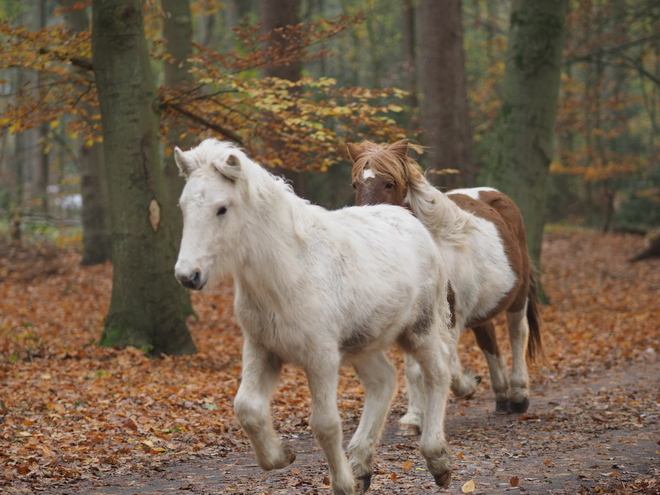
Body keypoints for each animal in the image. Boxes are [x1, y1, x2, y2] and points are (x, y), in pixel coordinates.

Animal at [173, 140, 456, 495]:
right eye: (184, 207)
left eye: (222, 208)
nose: (188, 275)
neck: (290, 270)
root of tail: (409, 220)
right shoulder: (261, 349)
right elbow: (247, 408)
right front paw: (283, 455)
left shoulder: (320, 358)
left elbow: (325, 424)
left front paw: (342, 485)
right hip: (364, 344)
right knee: (383, 381)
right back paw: (361, 465)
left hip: (420, 330)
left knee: (438, 374)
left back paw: (437, 460)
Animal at [348, 139, 540, 426]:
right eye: (355, 184)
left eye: (389, 183)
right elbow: (414, 369)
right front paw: (414, 417)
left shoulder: (450, 318)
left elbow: (440, 364)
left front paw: (466, 386)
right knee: (489, 342)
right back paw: (502, 396)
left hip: (517, 298)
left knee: (518, 334)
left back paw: (518, 396)